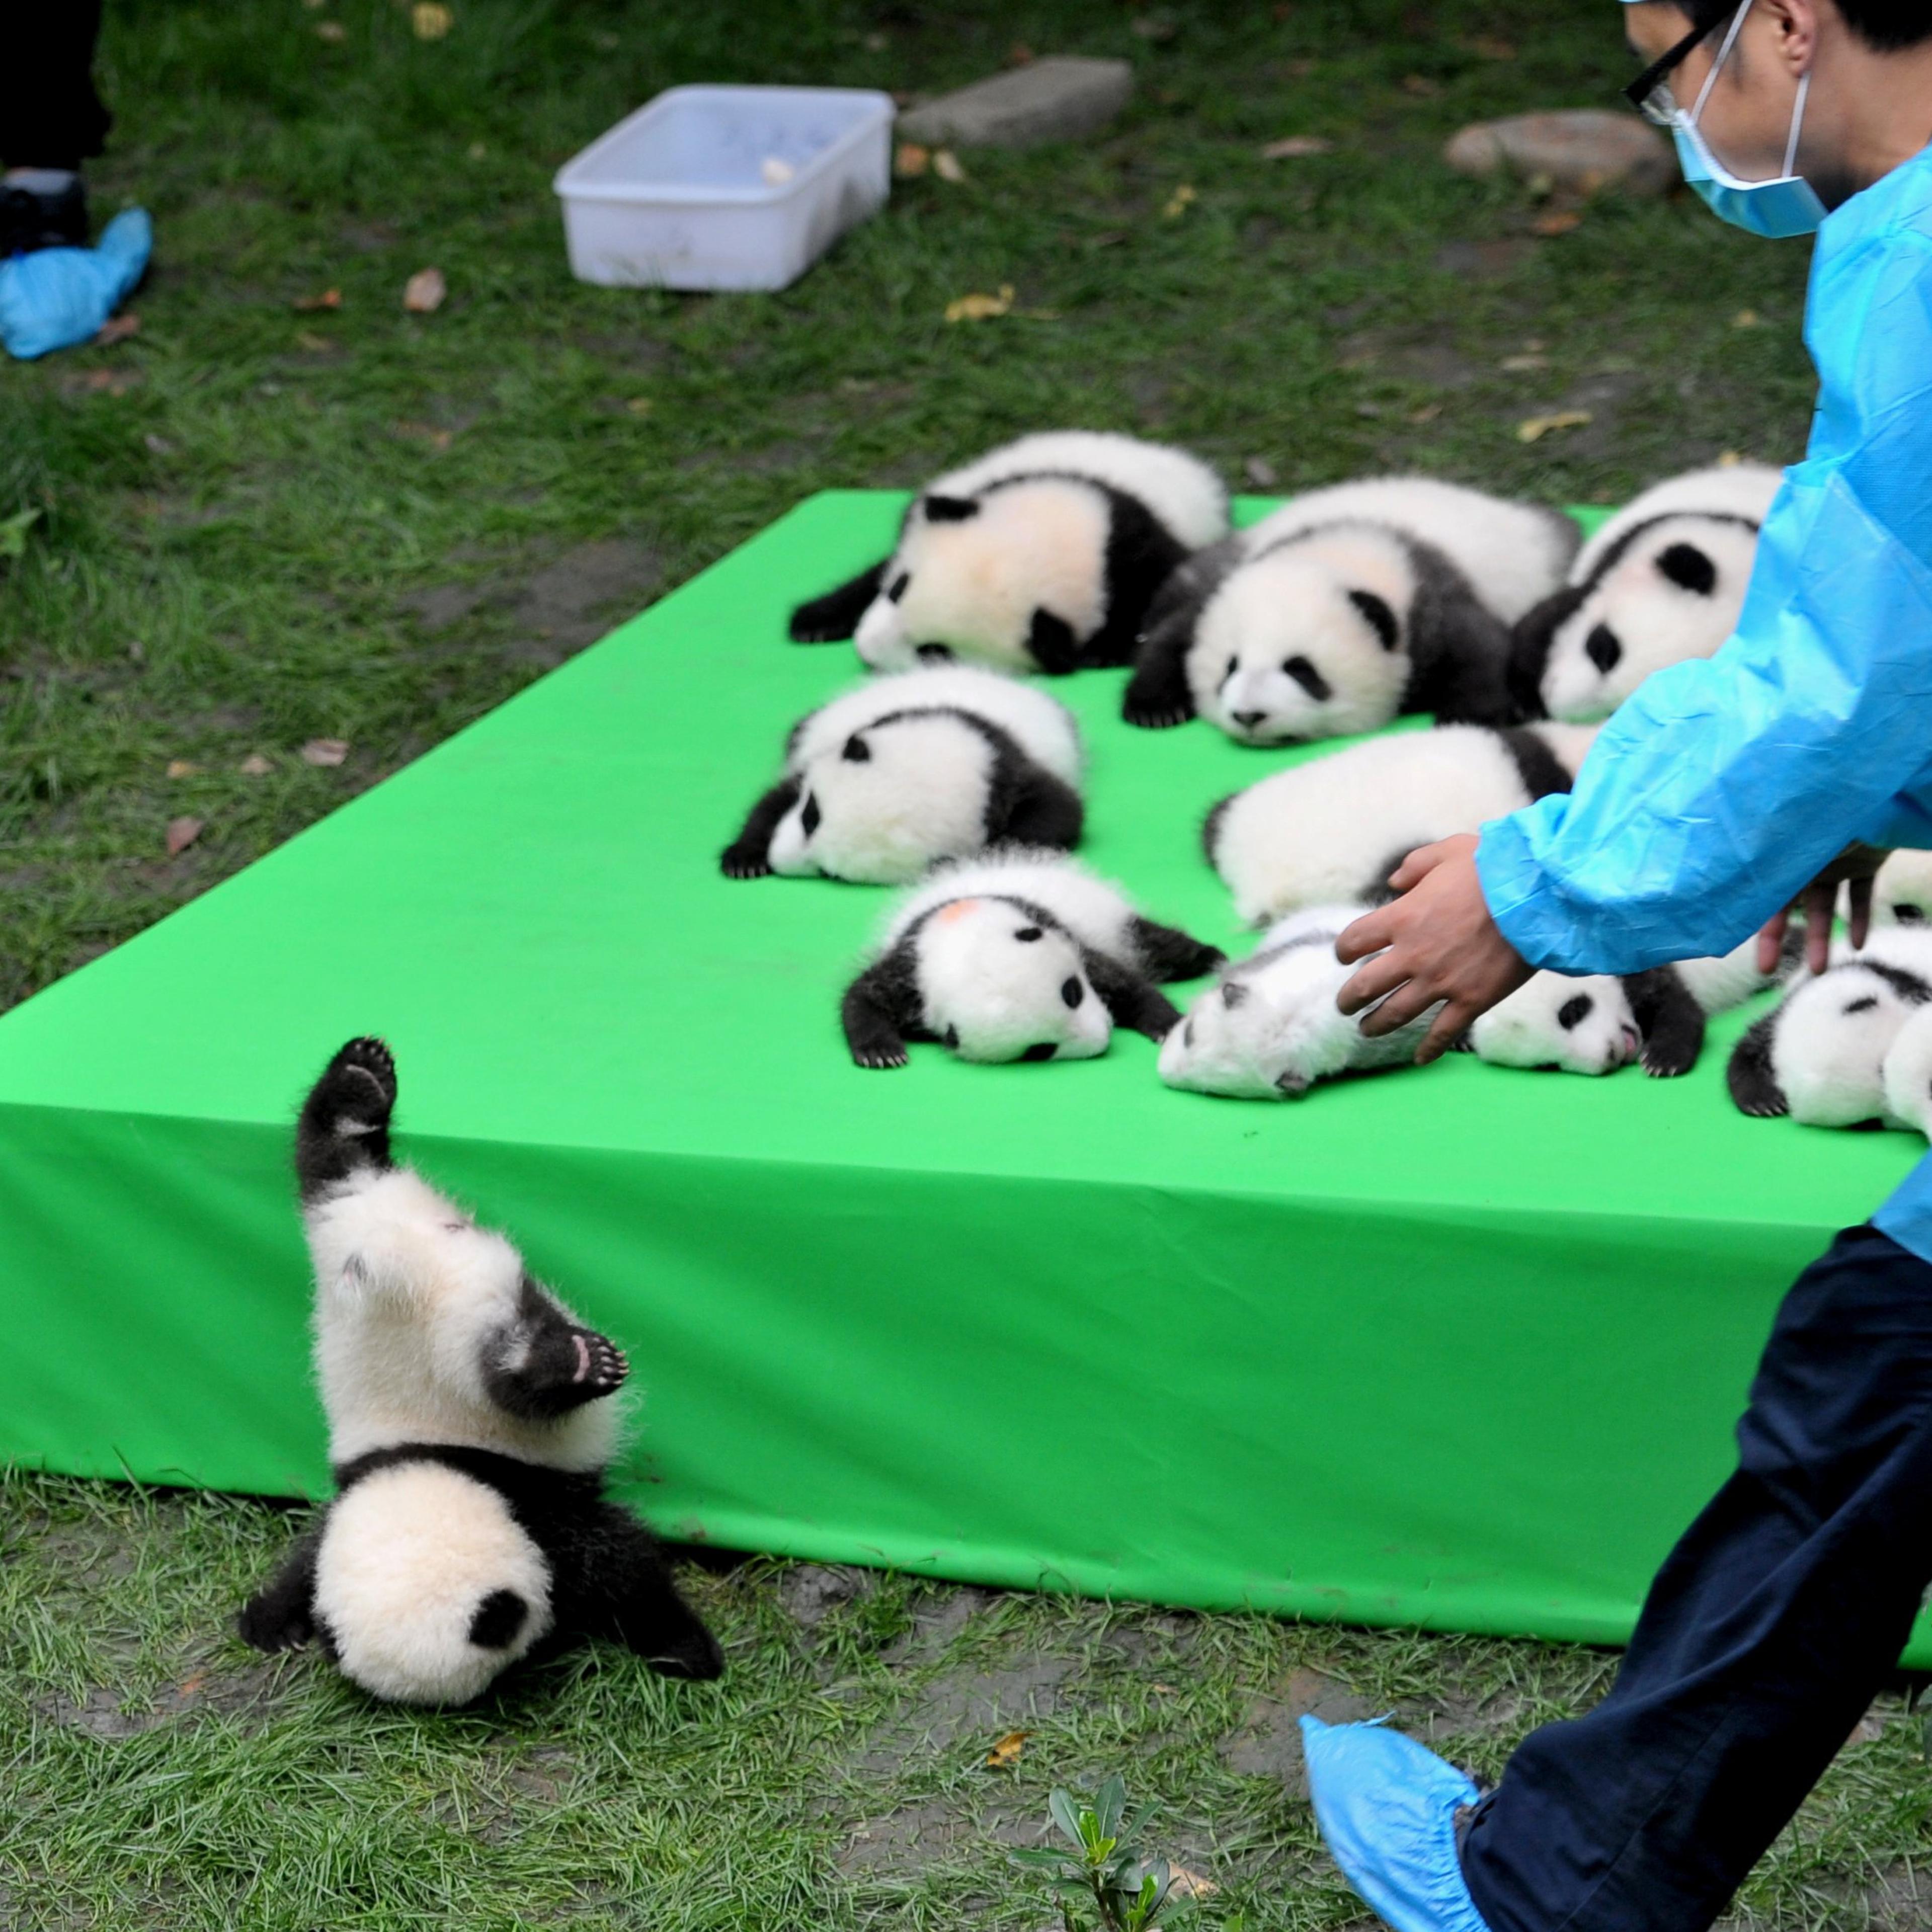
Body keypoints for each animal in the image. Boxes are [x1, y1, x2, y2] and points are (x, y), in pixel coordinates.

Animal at [238, 1038, 723, 1705]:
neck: (436, 1467)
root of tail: (387, 1264)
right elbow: (308, 1557)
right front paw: (274, 1622)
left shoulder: (531, 1503)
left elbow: (626, 1570)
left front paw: (685, 1650)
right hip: (353, 1232)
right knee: (334, 1162)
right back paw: (359, 1086)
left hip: (403, 1295)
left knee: (508, 1382)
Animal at [720, 666, 1084, 886]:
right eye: (811, 815)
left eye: (829, 874)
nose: (778, 860)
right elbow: (778, 797)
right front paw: (744, 858)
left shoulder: (1013, 772)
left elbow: (1058, 812)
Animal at [787, 432, 1230, 675]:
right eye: (898, 590)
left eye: (935, 652)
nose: (866, 651)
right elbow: (880, 567)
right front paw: (815, 620)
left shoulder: (1139, 558)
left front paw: (1103, 652)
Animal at [841, 849, 1222, 1068]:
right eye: (1040, 1050)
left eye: (1073, 993)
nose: (1101, 1038)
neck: (964, 938)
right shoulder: (911, 968)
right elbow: (863, 996)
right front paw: (882, 1052)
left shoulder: (1062, 932)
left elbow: (1124, 982)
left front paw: (1166, 1024)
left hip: (1110, 918)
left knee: (1156, 943)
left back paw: (1208, 956)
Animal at [1121, 477, 1579, 743]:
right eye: (1230, 667)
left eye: (1301, 670)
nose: (1249, 715)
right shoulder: (1229, 581)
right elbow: (1175, 634)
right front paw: (1155, 708)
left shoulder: (1430, 599)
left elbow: (1481, 648)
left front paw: (1464, 718)